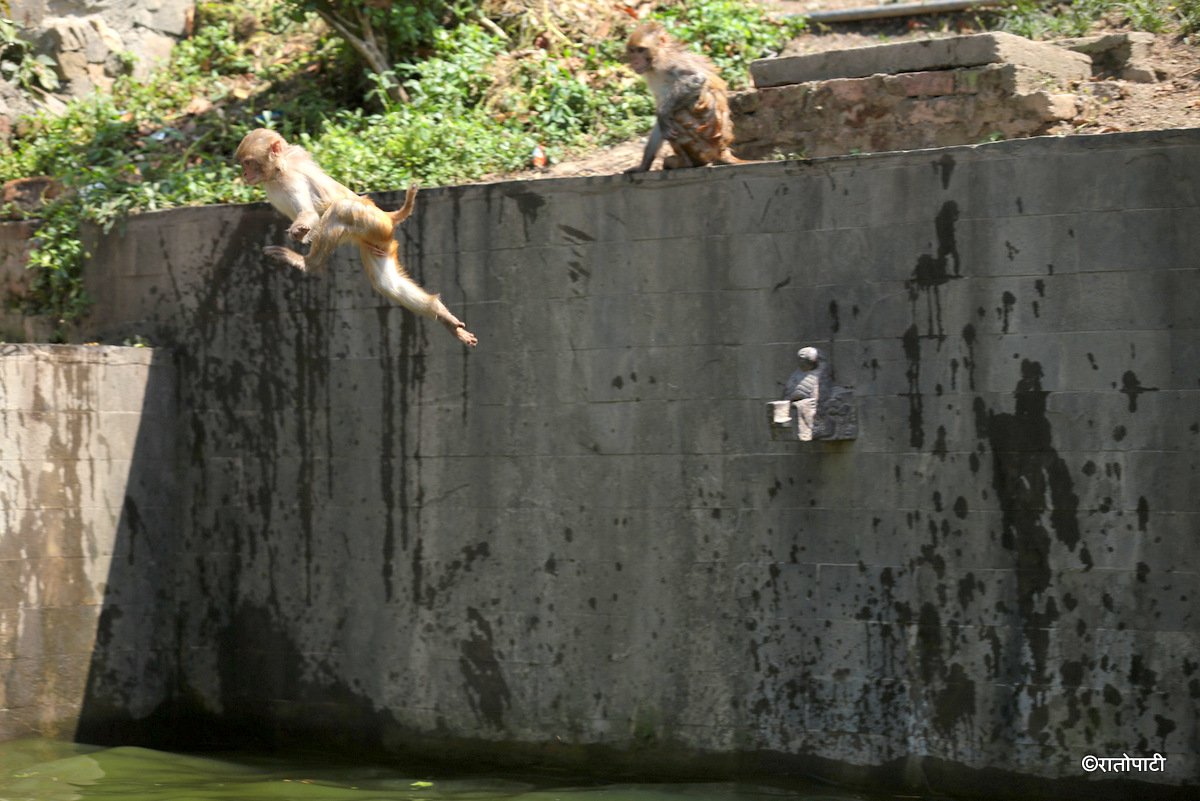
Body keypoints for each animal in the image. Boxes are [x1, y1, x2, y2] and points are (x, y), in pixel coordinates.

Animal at [234, 128, 477, 347]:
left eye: (248, 163)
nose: (244, 175)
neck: (274, 174)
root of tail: (386, 215)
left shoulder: (290, 179)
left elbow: (310, 214)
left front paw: (301, 231)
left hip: (372, 222)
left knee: (340, 209)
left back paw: (307, 264)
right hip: (379, 240)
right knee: (388, 284)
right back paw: (440, 314)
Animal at [623, 21, 742, 173]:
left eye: (641, 50)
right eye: (632, 51)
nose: (635, 62)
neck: (655, 62)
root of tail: (722, 149)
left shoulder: (669, 63)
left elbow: (698, 78)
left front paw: (662, 113)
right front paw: (644, 165)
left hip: (704, 139)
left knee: (678, 112)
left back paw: (689, 163)